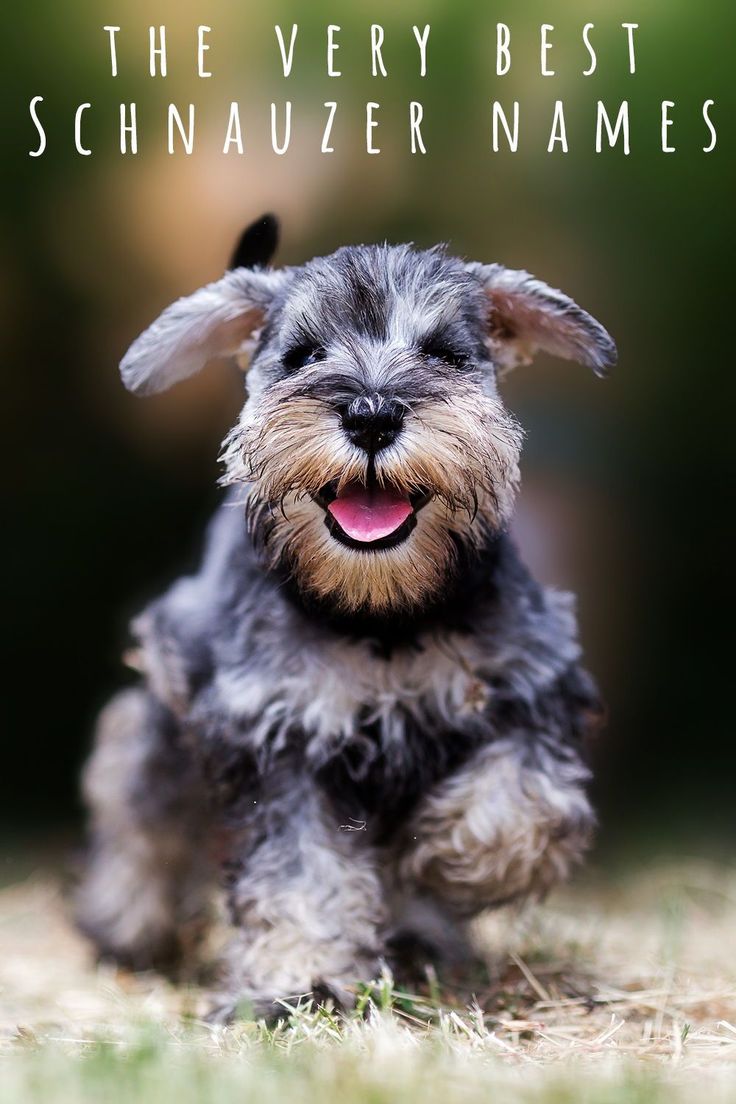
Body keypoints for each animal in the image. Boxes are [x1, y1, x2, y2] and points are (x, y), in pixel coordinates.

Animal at [76, 213, 617, 1015]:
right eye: (302, 355)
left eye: (444, 353)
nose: (371, 413)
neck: (379, 613)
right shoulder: (277, 735)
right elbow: (300, 873)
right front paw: (301, 978)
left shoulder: (531, 686)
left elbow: (521, 802)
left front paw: (447, 861)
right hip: (163, 720)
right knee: (140, 805)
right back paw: (124, 924)